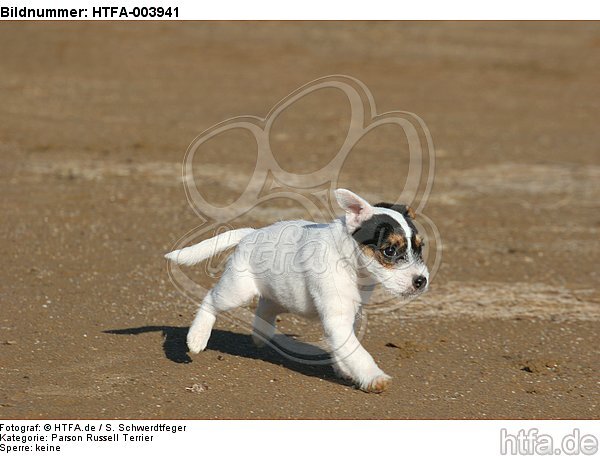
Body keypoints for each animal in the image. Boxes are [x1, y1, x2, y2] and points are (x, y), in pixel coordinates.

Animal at [164, 189, 428, 392]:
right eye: (390, 251)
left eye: (420, 247)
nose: (421, 281)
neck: (349, 264)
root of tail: (251, 234)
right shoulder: (337, 320)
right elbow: (356, 351)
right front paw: (374, 377)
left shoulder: (348, 315)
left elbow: (345, 347)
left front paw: (344, 368)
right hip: (236, 291)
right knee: (210, 299)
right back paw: (197, 337)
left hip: (284, 296)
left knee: (265, 307)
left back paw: (261, 335)